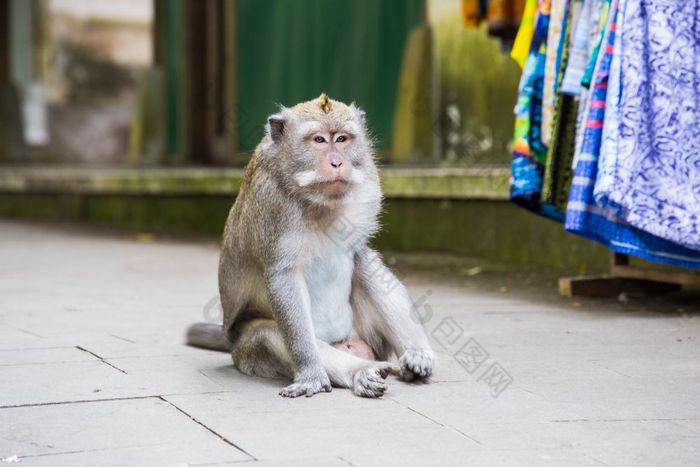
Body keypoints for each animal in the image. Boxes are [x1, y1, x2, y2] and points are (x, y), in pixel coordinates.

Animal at [189, 92, 434, 398]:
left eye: (341, 139)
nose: (337, 163)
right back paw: (360, 371)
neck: (316, 200)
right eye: (319, 140)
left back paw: (412, 359)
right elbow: (284, 278)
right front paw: (311, 375)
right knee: (268, 334)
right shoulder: (273, 205)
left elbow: (362, 257)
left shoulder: (367, 184)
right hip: (249, 353)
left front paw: (418, 353)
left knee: (366, 268)